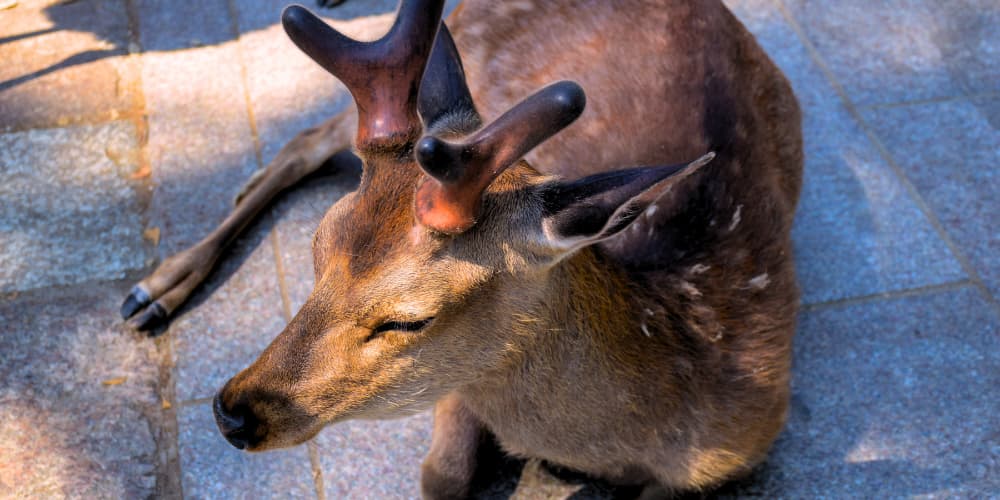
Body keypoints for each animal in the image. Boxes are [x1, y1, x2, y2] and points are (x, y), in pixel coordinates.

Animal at [119, 0, 804, 496]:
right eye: (315, 249)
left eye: (409, 318)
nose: (232, 412)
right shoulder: (455, 388)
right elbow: (442, 474)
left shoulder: (740, 447)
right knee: (306, 140)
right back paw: (152, 290)